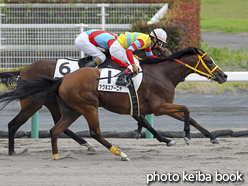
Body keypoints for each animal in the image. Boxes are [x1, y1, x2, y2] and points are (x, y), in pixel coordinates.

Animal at [0, 46, 227, 160]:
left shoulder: (157, 106)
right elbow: (185, 110)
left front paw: (212, 137)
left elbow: (189, 116)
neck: (162, 73)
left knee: (57, 128)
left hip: (67, 107)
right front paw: (184, 136)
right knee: (93, 132)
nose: (223, 76)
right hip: (57, 104)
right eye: (209, 61)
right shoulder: (159, 107)